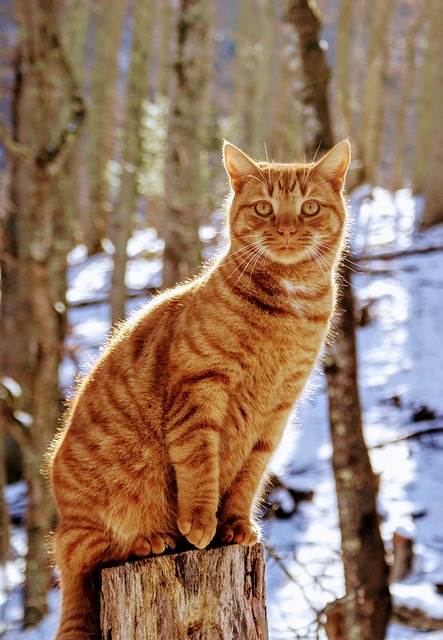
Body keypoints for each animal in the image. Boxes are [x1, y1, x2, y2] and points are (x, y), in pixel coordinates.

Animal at [47, 140, 350, 636]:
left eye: (309, 208)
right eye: (264, 208)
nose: (287, 229)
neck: (291, 309)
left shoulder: (277, 411)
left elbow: (249, 475)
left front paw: (234, 524)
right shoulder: (201, 388)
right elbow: (199, 462)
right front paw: (200, 522)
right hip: (89, 526)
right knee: (88, 554)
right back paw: (151, 539)